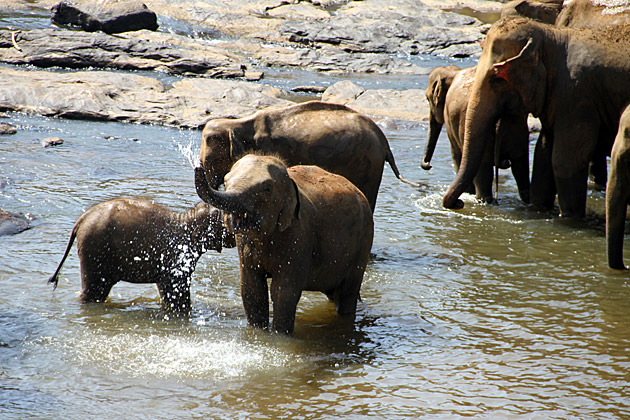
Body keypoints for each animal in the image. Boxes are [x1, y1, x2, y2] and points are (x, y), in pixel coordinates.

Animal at [47, 198, 232, 312]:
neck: (187, 217)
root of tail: (81, 220)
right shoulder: (177, 258)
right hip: (95, 249)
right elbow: (177, 292)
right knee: (94, 290)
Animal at [195, 154, 376, 334]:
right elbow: (252, 289)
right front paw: (257, 332)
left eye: (267, 189)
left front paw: (280, 335)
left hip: (363, 242)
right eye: (226, 182)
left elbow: (283, 292)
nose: (198, 167)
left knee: (347, 293)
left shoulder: (299, 236)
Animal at [442, 16, 630, 218]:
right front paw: (538, 210)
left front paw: (569, 219)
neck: (551, 35)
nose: (459, 203)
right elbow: (543, 153)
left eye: (497, 79)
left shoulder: (576, 95)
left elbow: (566, 160)